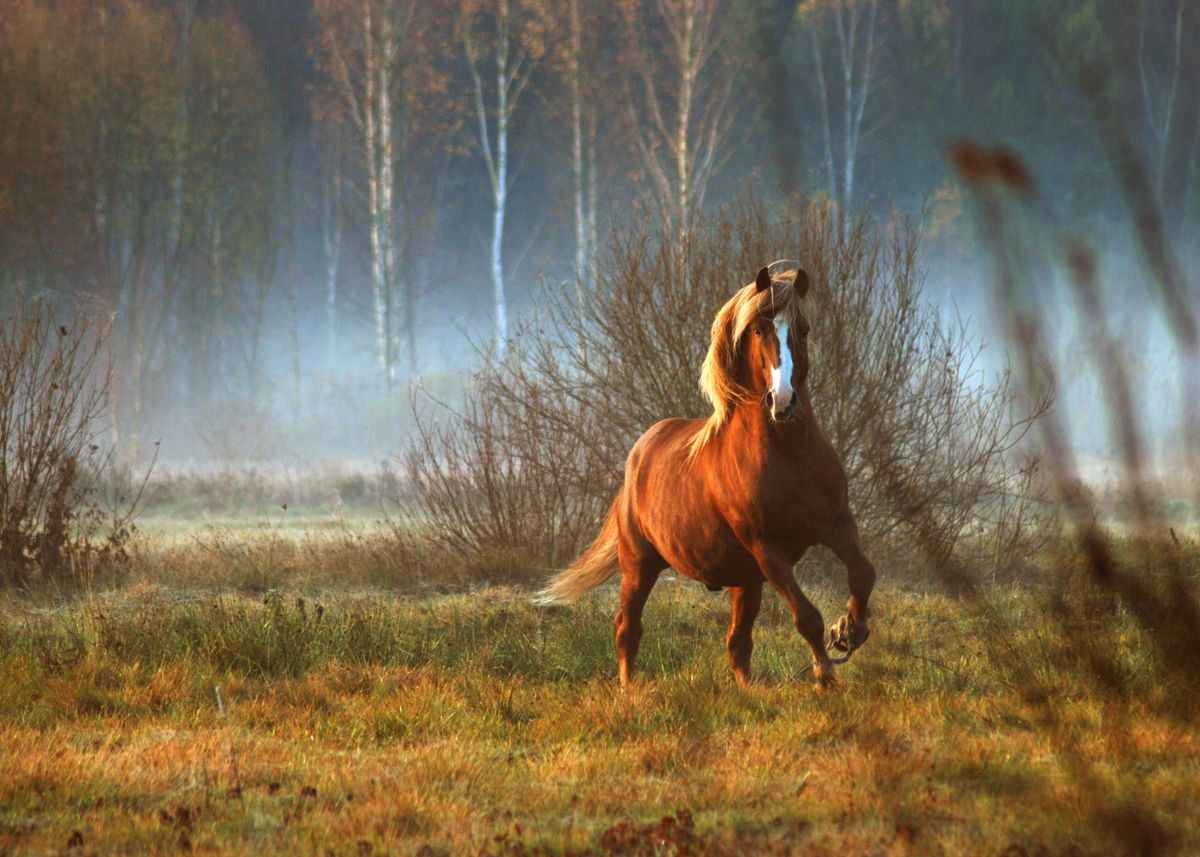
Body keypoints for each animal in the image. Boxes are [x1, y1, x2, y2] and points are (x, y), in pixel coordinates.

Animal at [539, 266, 875, 689]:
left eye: (804, 328)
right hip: (639, 564)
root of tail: (639, 454)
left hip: (744, 580)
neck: (790, 457)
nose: (782, 402)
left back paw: (749, 691)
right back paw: (629, 689)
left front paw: (849, 631)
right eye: (758, 330)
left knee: (737, 643)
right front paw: (826, 674)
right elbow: (806, 617)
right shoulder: (768, 549)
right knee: (627, 629)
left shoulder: (836, 523)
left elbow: (863, 575)